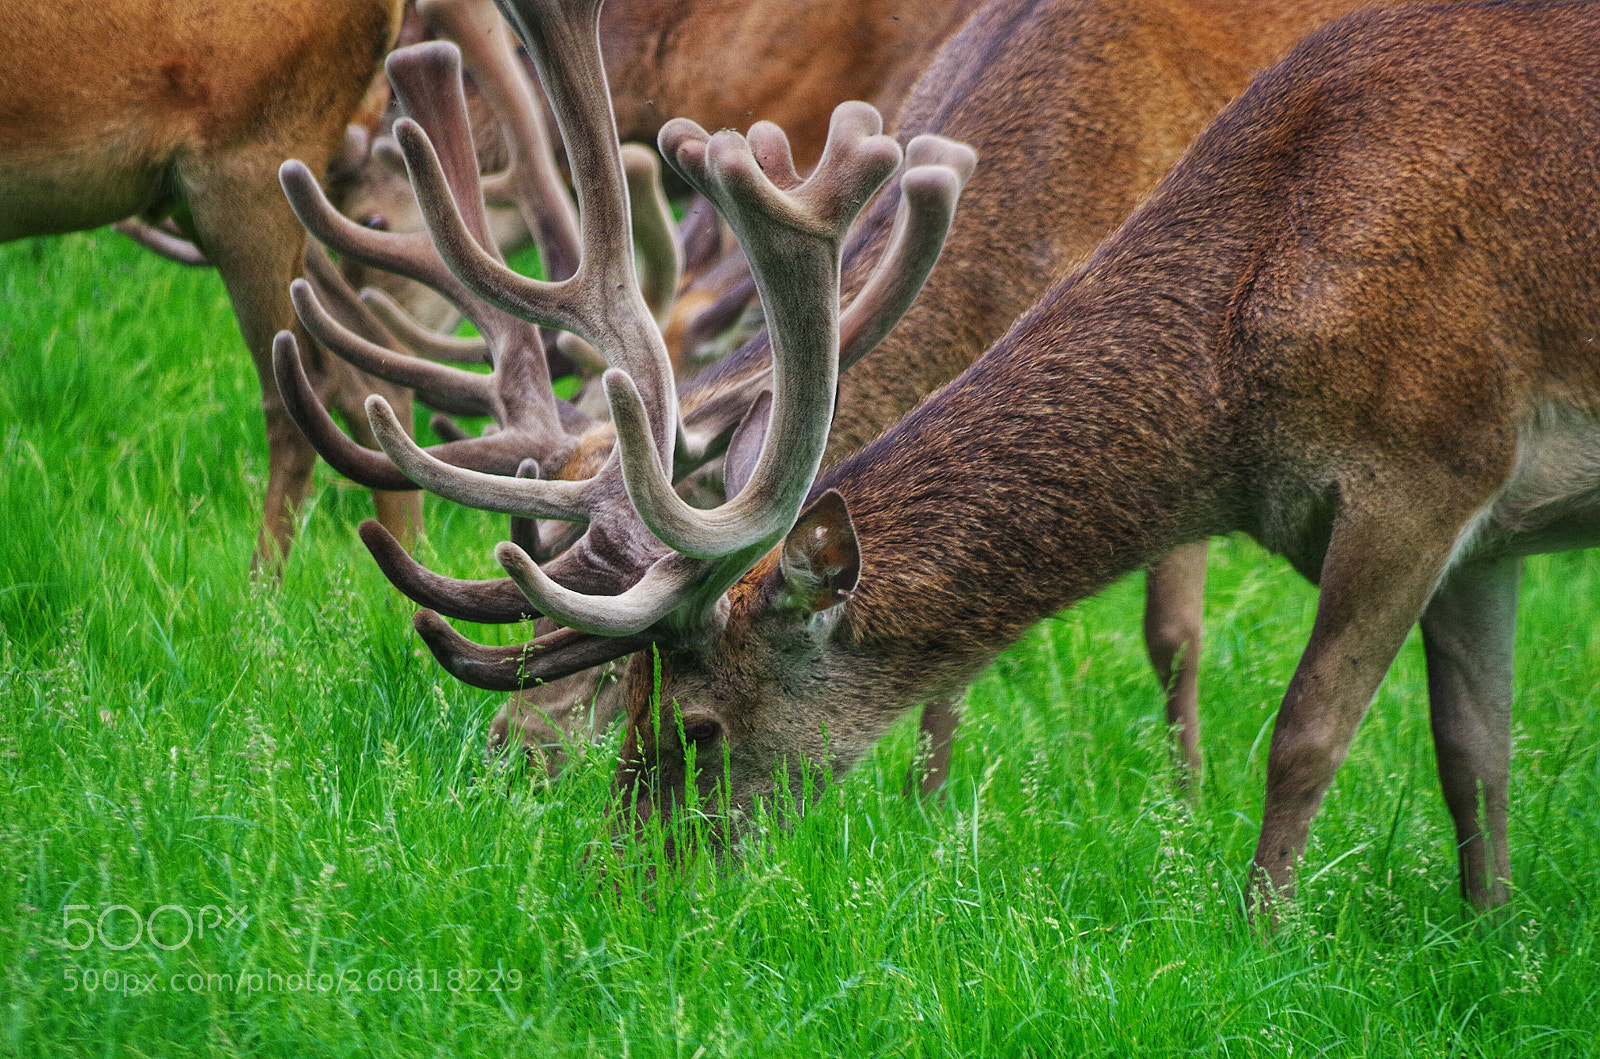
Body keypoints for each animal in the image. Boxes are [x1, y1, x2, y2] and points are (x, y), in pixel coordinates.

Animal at [333, 0, 1600, 914]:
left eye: (693, 723)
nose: (612, 881)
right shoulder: (1484, 539)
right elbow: (1475, 754)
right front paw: (1493, 937)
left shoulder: (1430, 464)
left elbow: (1294, 726)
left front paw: (1252, 919)